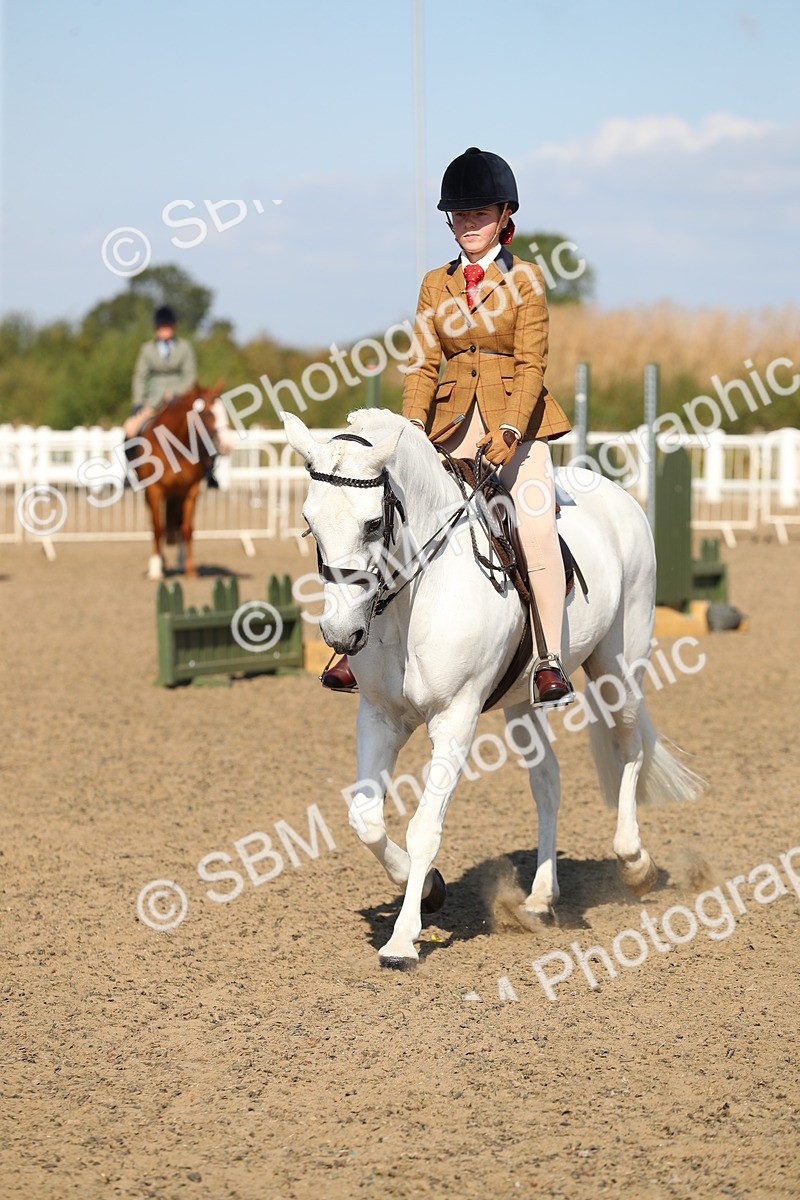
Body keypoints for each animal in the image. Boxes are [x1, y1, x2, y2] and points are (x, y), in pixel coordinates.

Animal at [129, 383, 223, 580]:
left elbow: (187, 529)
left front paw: (190, 569)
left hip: (177, 495)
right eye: (206, 413)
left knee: (179, 525)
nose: (226, 444)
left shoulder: (191, 491)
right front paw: (156, 569)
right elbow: (158, 528)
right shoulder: (154, 490)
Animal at [283, 408, 703, 970]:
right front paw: (430, 889)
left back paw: (635, 864)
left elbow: (424, 828)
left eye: (373, 524)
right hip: (522, 703)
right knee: (548, 781)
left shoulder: (455, 720)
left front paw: (402, 940)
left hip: (620, 666)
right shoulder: (379, 716)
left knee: (629, 748)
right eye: (310, 522)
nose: (339, 633)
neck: (415, 597)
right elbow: (365, 819)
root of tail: (617, 496)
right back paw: (541, 898)